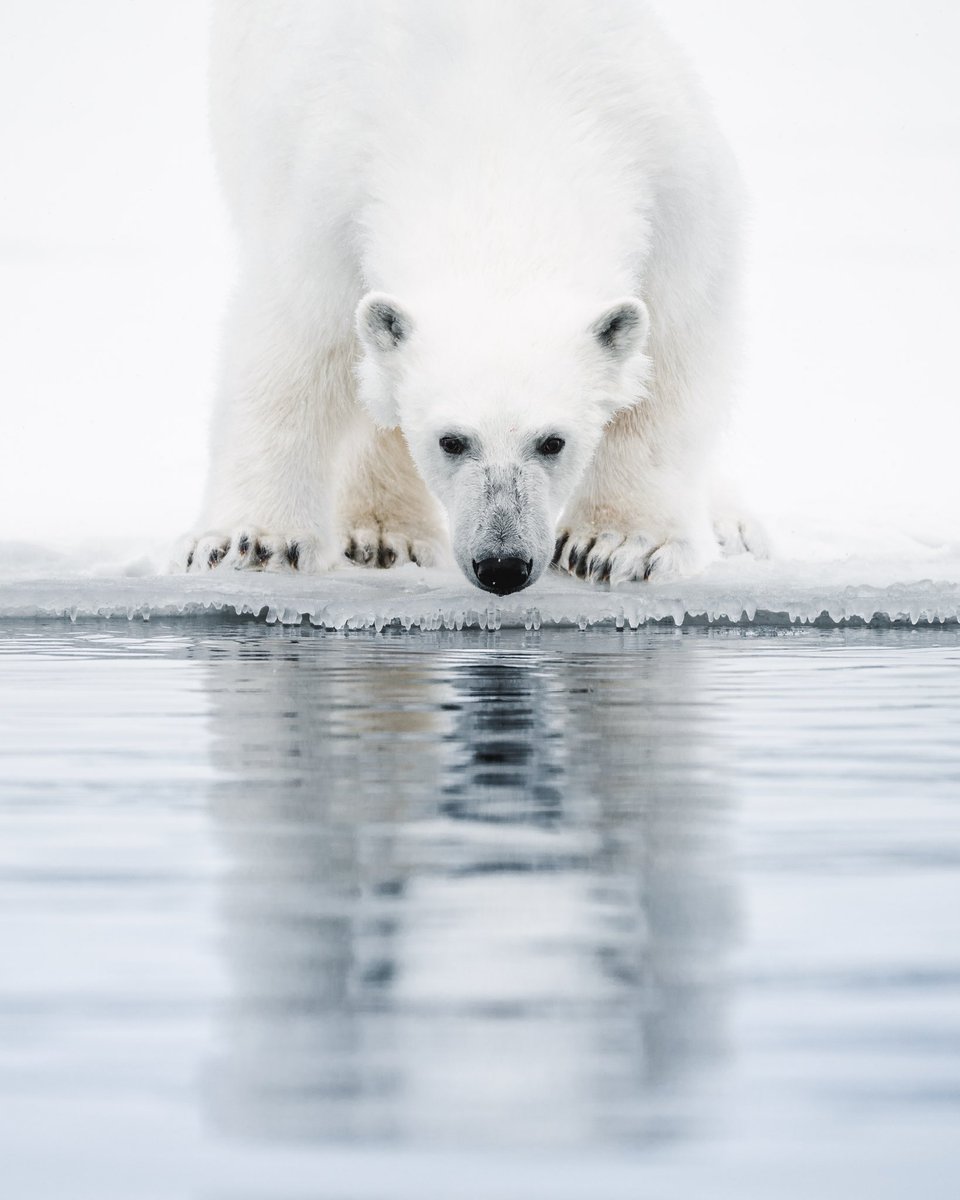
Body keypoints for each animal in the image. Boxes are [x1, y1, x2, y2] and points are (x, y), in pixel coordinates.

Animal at [180, 0, 763, 595]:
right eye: (451, 441)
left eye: (552, 441)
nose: (502, 564)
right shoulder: (326, 197)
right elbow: (293, 352)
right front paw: (251, 542)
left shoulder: (673, 186)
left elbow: (671, 359)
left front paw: (613, 546)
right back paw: (384, 535)